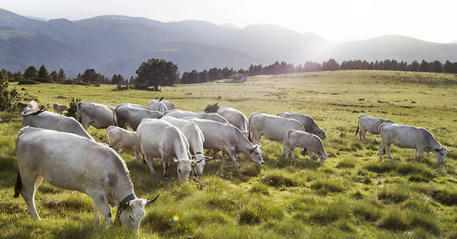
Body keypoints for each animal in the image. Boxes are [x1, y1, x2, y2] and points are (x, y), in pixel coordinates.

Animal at [14, 127, 159, 233]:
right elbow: (106, 211)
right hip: (27, 172)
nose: (134, 235)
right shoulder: (97, 192)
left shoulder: (99, 193)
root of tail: (28, 129)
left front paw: (97, 222)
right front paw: (110, 228)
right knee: (28, 195)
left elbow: (96, 207)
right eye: (131, 217)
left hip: (39, 175)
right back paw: (36, 218)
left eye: (142, 217)